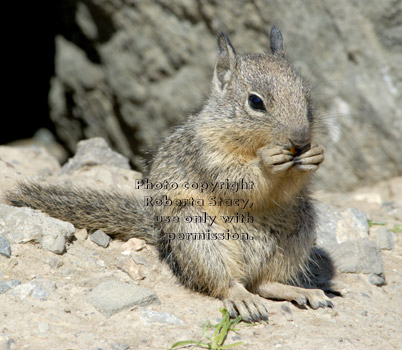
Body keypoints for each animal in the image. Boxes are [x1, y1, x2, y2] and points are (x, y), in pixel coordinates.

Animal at [6, 26, 332, 322]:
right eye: (255, 102)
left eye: (307, 99)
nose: (301, 140)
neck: (247, 144)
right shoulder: (207, 155)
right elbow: (236, 181)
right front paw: (268, 161)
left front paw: (315, 155)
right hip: (196, 231)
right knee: (226, 283)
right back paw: (243, 298)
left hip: (300, 229)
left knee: (265, 283)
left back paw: (302, 291)